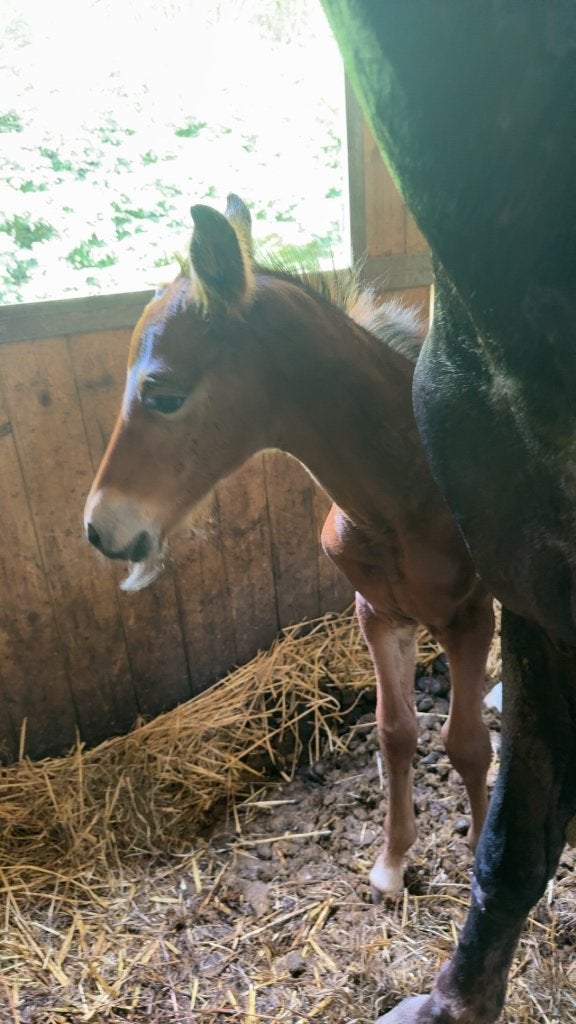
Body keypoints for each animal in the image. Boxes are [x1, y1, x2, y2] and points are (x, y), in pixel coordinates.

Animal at [84, 194, 495, 897]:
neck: (408, 492)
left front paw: (482, 861)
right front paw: (391, 861)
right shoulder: (378, 612)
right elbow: (395, 732)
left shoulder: (470, 617)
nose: (100, 527)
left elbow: (467, 742)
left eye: (164, 394)